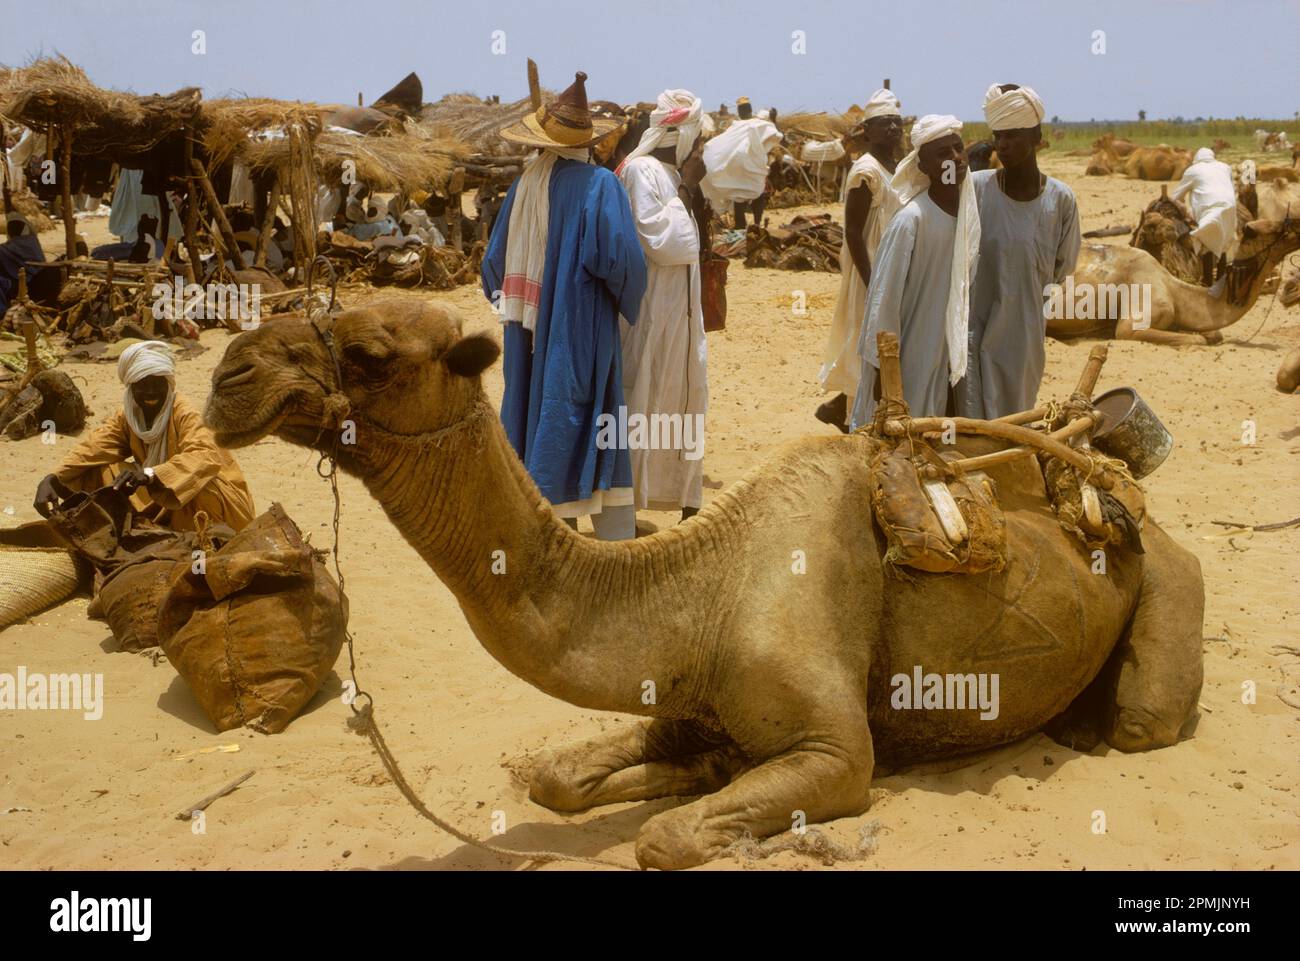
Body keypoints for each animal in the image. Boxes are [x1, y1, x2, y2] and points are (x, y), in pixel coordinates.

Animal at [205, 302, 1206, 873]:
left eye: (371, 351)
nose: (227, 375)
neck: (701, 589)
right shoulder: (679, 696)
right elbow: (558, 781)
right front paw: (687, 773)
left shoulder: (835, 750)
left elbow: (667, 836)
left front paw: (769, 832)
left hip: (1169, 581)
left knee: (1143, 717)